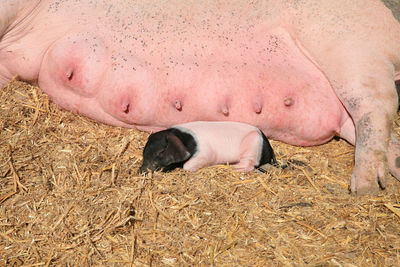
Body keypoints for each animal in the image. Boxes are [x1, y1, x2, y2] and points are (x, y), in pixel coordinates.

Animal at [140, 121, 276, 174]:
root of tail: (269, 148)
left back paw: (233, 167)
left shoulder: (205, 153)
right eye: (144, 151)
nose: (141, 171)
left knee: (249, 165)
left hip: (253, 145)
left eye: (161, 152)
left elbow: (187, 167)